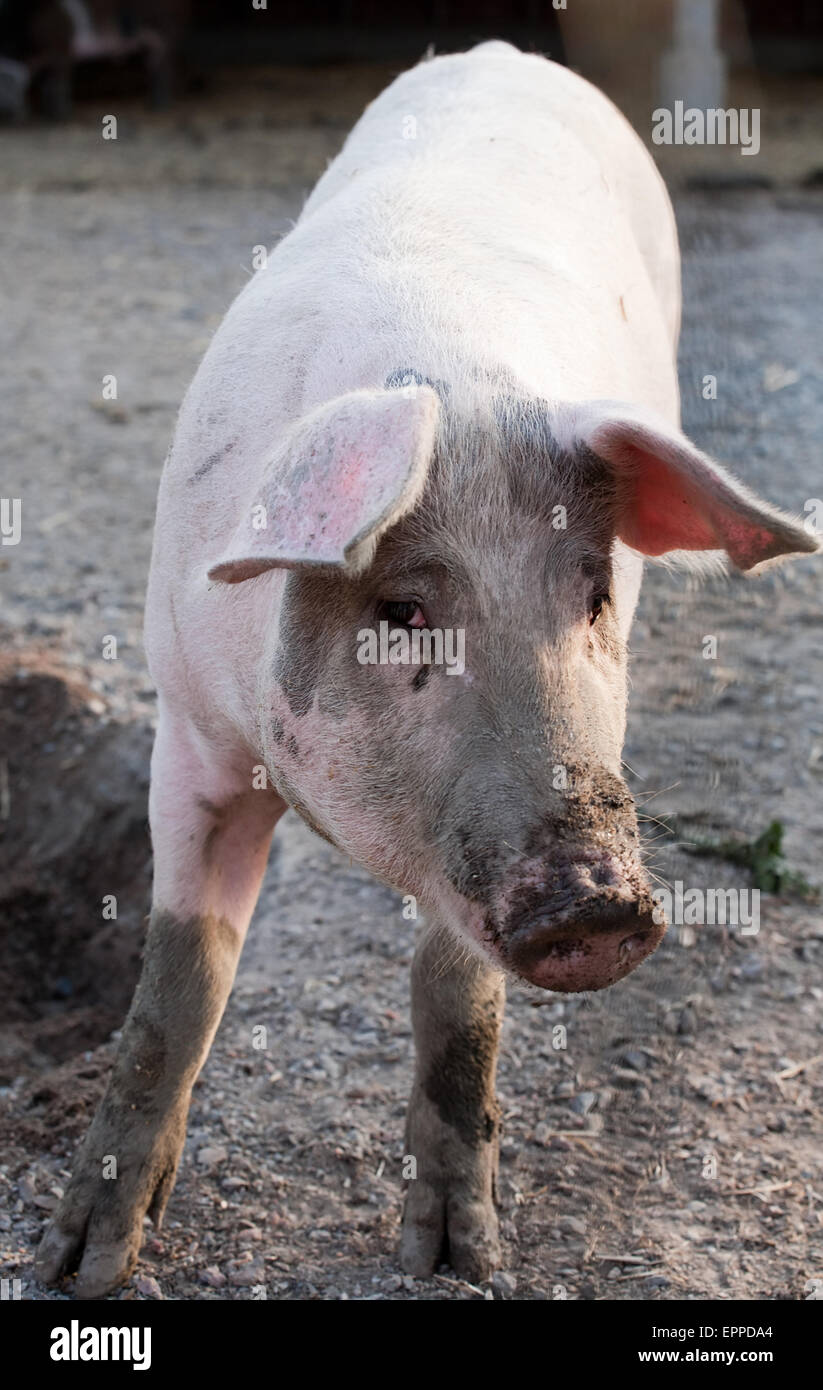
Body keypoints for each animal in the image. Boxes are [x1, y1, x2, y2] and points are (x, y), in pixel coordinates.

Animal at [37, 46, 817, 1301]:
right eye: (402, 612)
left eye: (591, 595)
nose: (597, 902)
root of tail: (510, 52)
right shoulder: (189, 728)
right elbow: (176, 982)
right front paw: (79, 1268)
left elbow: (457, 995)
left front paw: (454, 1259)